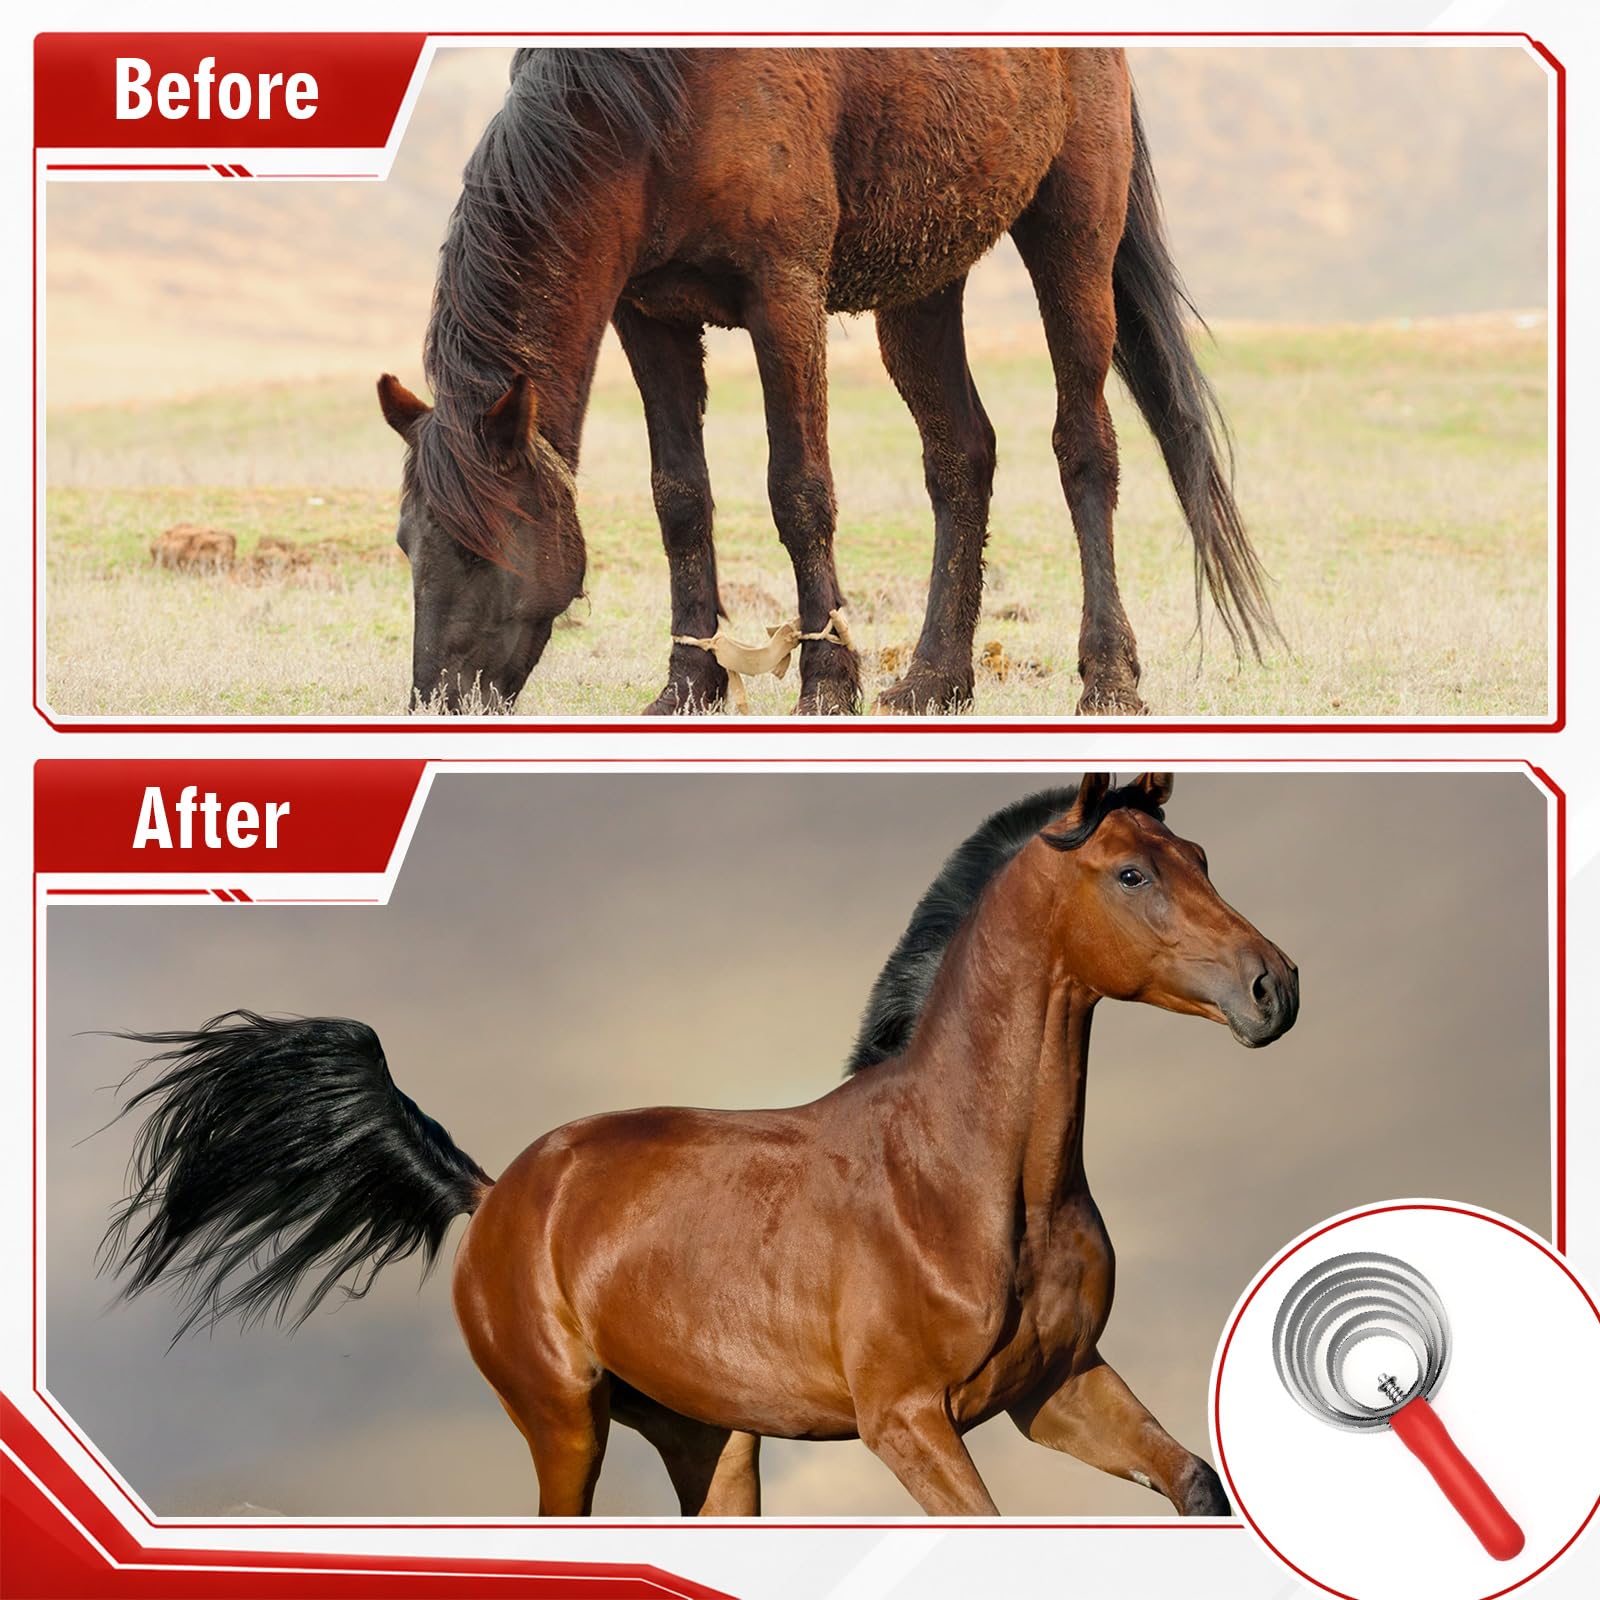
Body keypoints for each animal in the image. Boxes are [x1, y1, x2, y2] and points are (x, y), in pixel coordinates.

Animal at [103, 773, 1298, 1516]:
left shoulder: (1055, 1390)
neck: (967, 1179)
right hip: (565, 1423)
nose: (1273, 987)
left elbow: (1196, 1484)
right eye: (1132, 874)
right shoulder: (908, 1421)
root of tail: (495, 1193)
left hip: (707, 1437)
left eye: (1197, 853)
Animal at [377, 49, 1277, 716]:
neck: (653, 112)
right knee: (961, 458)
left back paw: (1109, 678)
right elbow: (680, 498)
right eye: (407, 544)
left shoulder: (785, 297)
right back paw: (933, 682)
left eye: (481, 545)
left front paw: (827, 684)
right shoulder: (650, 316)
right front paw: (688, 686)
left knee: (1084, 447)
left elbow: (800, 492)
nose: (438, 701)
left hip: (1074, 237)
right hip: (922, 280)